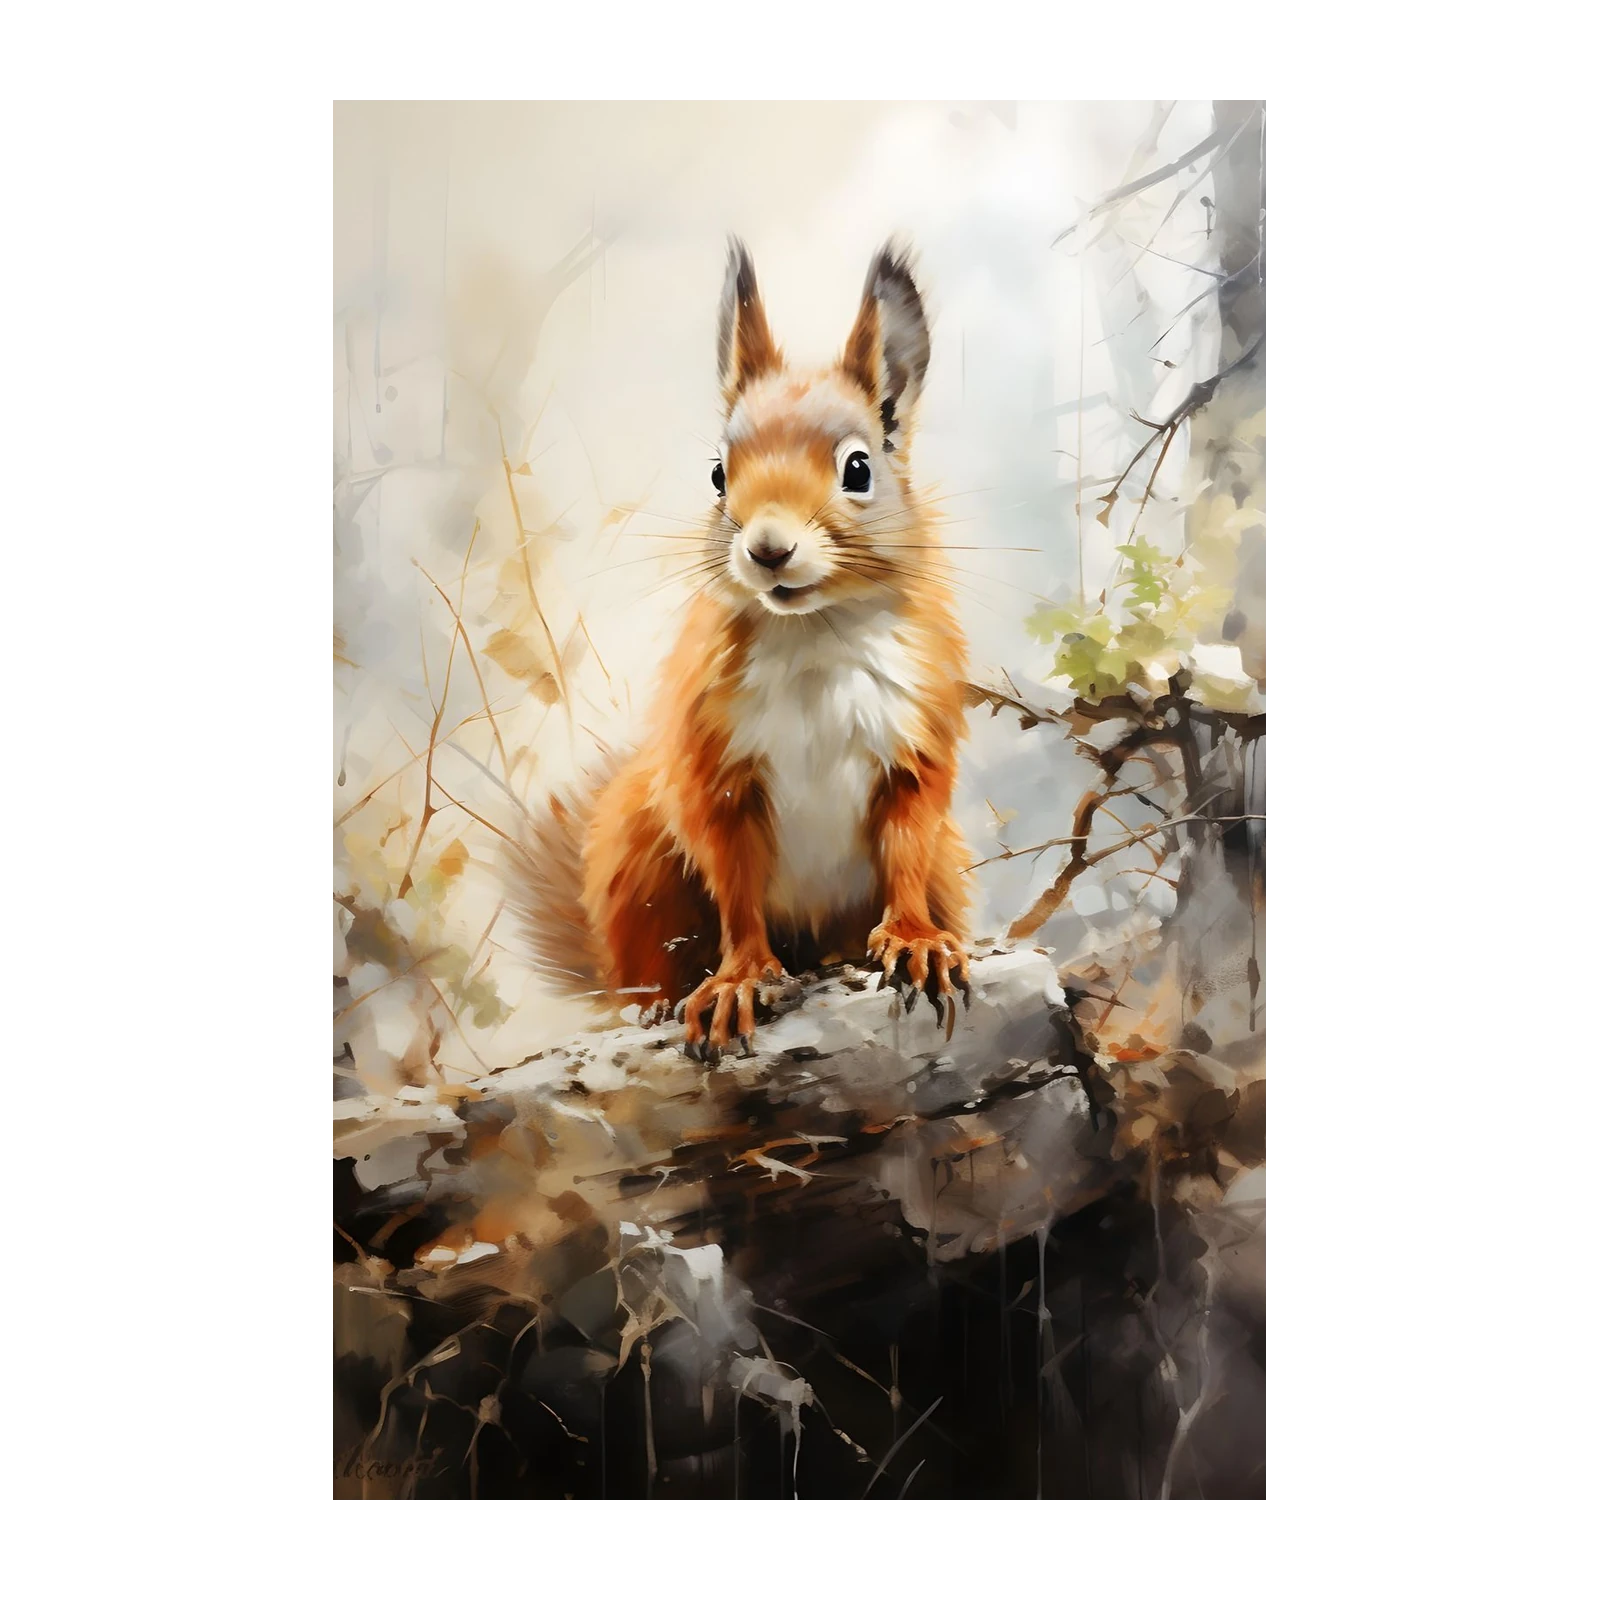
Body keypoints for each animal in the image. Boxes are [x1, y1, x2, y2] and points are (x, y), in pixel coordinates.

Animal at [509, 237, 974, 1064]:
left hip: (945, 869)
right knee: (650, 961)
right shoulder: (716, 770)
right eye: (718, 475)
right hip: (637, 855)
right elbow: (735, 882)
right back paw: (660, 1004)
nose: (768, 548)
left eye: (859, 469)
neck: (813, 633)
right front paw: (739, 979)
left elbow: (907, 848)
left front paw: (916, 940)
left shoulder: (914, 745)